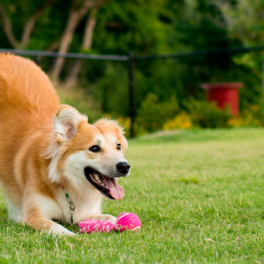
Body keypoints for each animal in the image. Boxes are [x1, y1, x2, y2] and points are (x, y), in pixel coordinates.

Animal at [0, 53, 130, 235]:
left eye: (118, 146)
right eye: (94, 148)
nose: (124, 166)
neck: (65, 182)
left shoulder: (88, 212)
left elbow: (111, 217)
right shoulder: (33, 216)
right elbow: (58, 228)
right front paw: (72, 236)